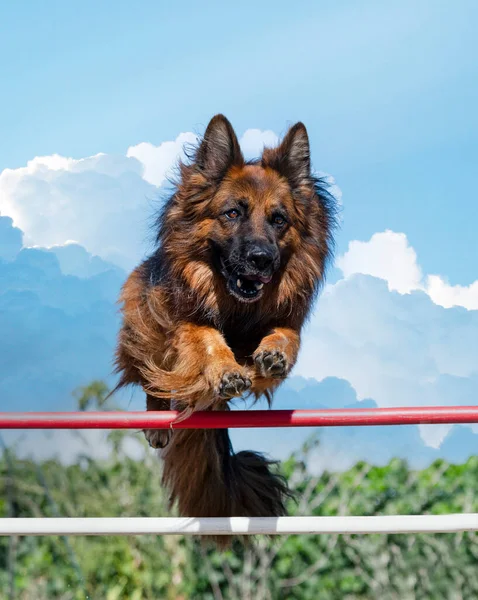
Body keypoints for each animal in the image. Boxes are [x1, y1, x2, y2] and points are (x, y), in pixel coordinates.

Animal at [113, 115, 336, 536]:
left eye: (278, 220)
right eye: (233, 213)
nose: (261, 259)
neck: (237, 308)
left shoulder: (284, 319)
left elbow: (287, 336)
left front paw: (272, 355)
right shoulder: (181, 322)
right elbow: (205, 336)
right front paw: (226, 370)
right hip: (142, 320)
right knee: (151, 373)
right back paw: (157, 418)